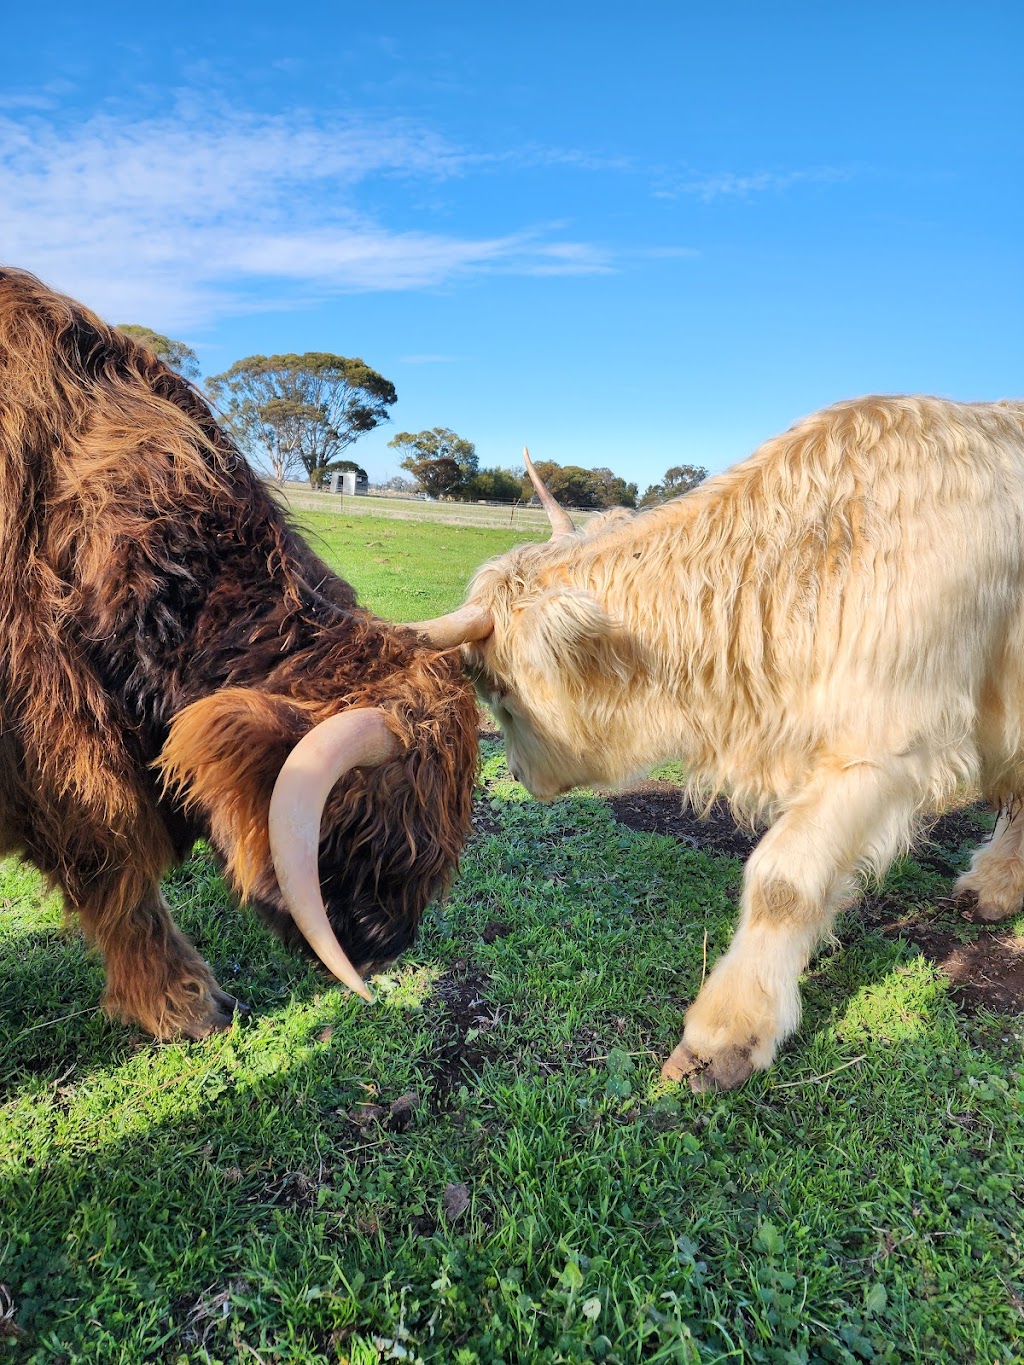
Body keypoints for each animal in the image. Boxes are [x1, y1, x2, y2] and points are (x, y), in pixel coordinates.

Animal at [412, 393, 1024, 1086]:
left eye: (499, 687)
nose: (517, 775)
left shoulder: (888, 745)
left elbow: (783, 882)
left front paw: (727, 1034)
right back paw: (994, 887)